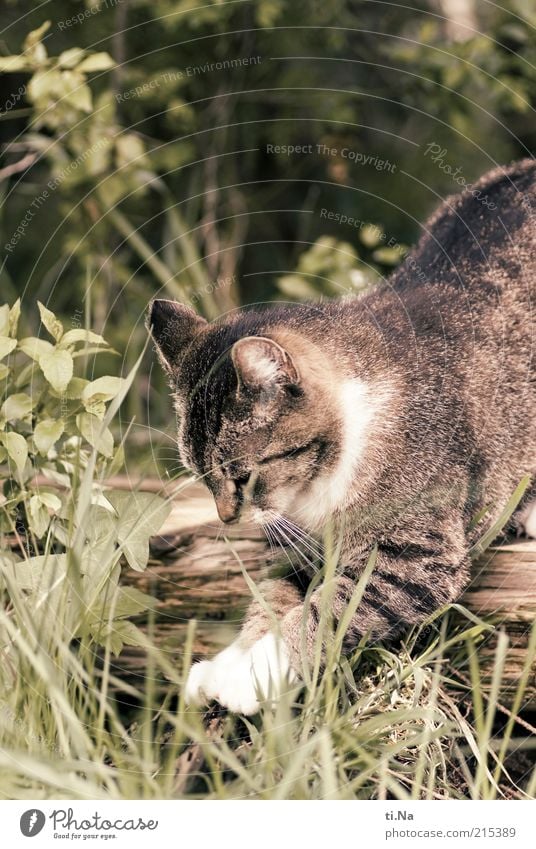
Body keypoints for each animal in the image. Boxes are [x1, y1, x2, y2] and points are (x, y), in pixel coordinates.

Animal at [147, 157, 536, 708]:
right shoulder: (296, 547)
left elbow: (328, 611)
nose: (226, 519)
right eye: (201, 477)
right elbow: (271, 599)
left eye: (242, 477)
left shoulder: (412, 556)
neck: (317, 486)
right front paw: (232, 662)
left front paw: (252, 676)